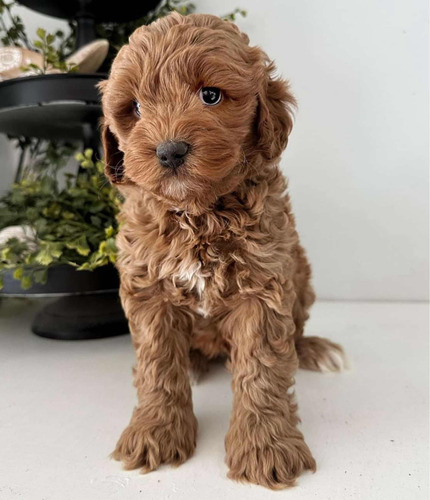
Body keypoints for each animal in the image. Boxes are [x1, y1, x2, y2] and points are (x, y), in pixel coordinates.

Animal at [100, 11, 346, 488]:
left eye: (210, 95)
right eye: (134, 108)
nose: (169, 151)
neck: (198, 214)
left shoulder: (264, 286)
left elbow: (263, 369)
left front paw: (265, 447)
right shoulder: (148, 288)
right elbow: (157, 365)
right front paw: (155, 431)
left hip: (302, 276)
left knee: (295, 331)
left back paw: (312, 349)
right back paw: (195, 361)